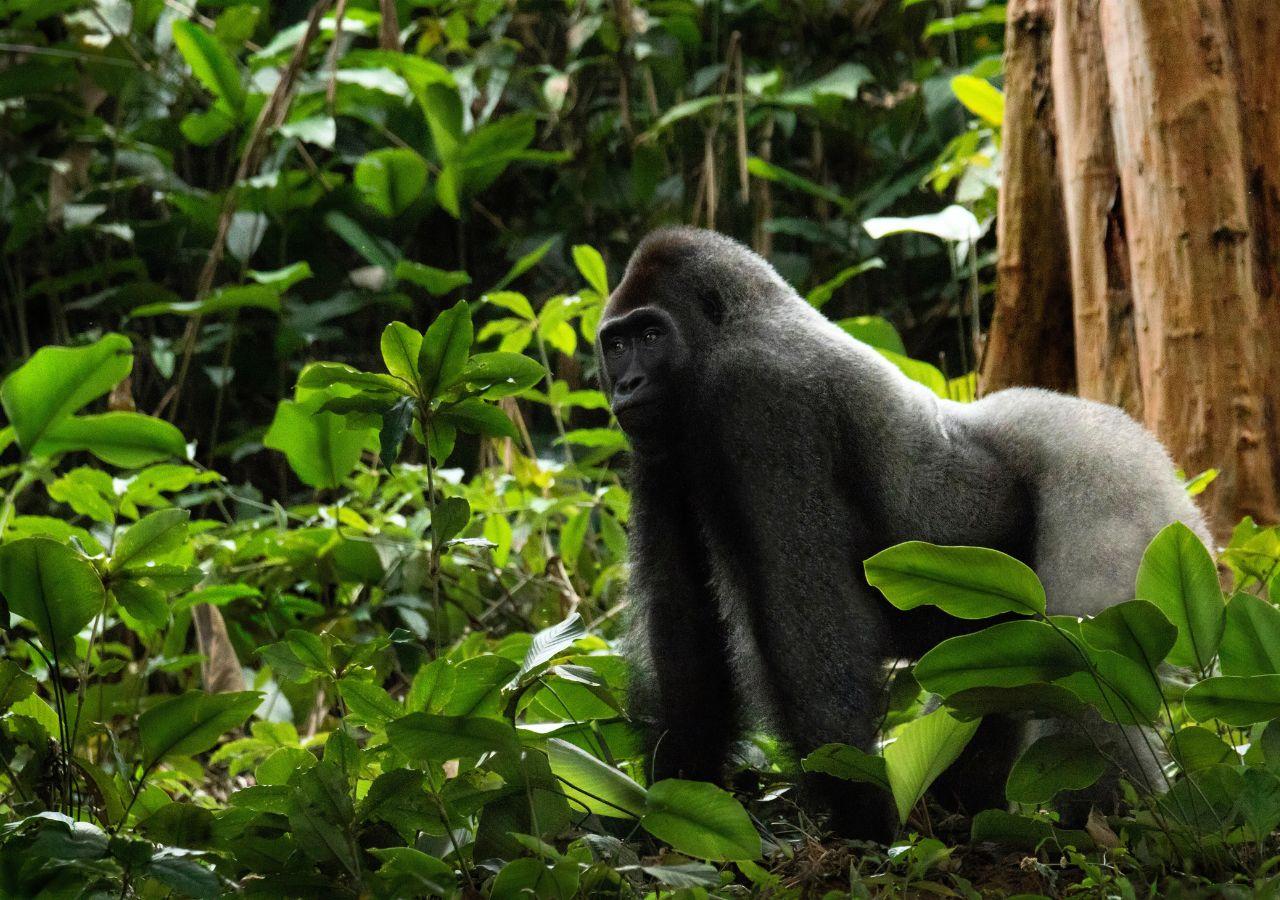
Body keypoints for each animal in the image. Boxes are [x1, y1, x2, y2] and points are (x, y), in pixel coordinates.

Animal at [597, 227, 1210, 839]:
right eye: (616, 344)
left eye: (651, 335)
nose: (626, 384)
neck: (735, 325)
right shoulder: (661, 449)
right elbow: (683, 622)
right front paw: (679, 789)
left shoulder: (761, 397)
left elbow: (810, 624)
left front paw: (859, 813)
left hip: (1121, 484)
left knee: (1083, 677)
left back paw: (1118, 825)